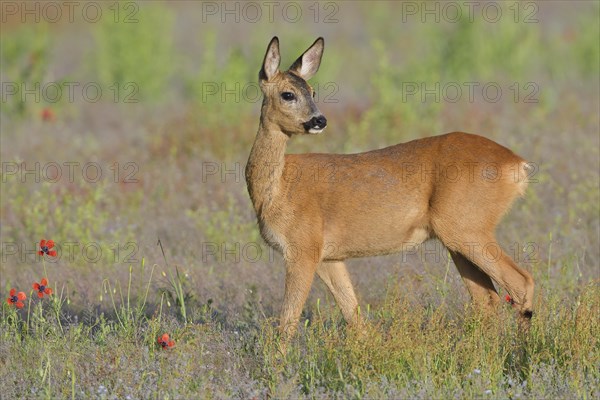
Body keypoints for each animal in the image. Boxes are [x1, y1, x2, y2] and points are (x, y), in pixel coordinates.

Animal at [246, 36, 536, 340]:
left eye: (312, 91)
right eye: (288, 94)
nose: (319, 120)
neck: (277, 190)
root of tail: (516, 163)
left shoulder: (303, 248)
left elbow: (287, 323)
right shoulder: (330, 257)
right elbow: (354, 316)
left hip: (465, 227)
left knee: (520, 282)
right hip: (458, 237)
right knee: (487, 298)